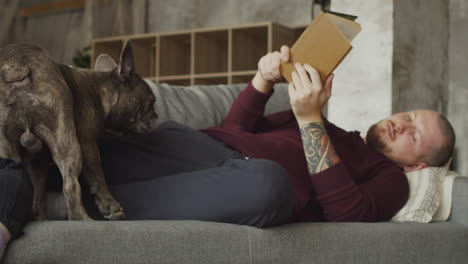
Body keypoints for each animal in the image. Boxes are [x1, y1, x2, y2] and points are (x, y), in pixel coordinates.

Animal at [0, 40, 158, 220]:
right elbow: (97, 176)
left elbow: (38, 195)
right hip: (67, 143)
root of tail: (16, 64)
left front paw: (40, 218)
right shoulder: (88, 144)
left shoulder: (38, 164)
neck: (100, 91)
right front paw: (110, 206)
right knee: (70, 185)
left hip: (7, 148)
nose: (157, 116)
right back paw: (83, 220)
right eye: (151, 102)